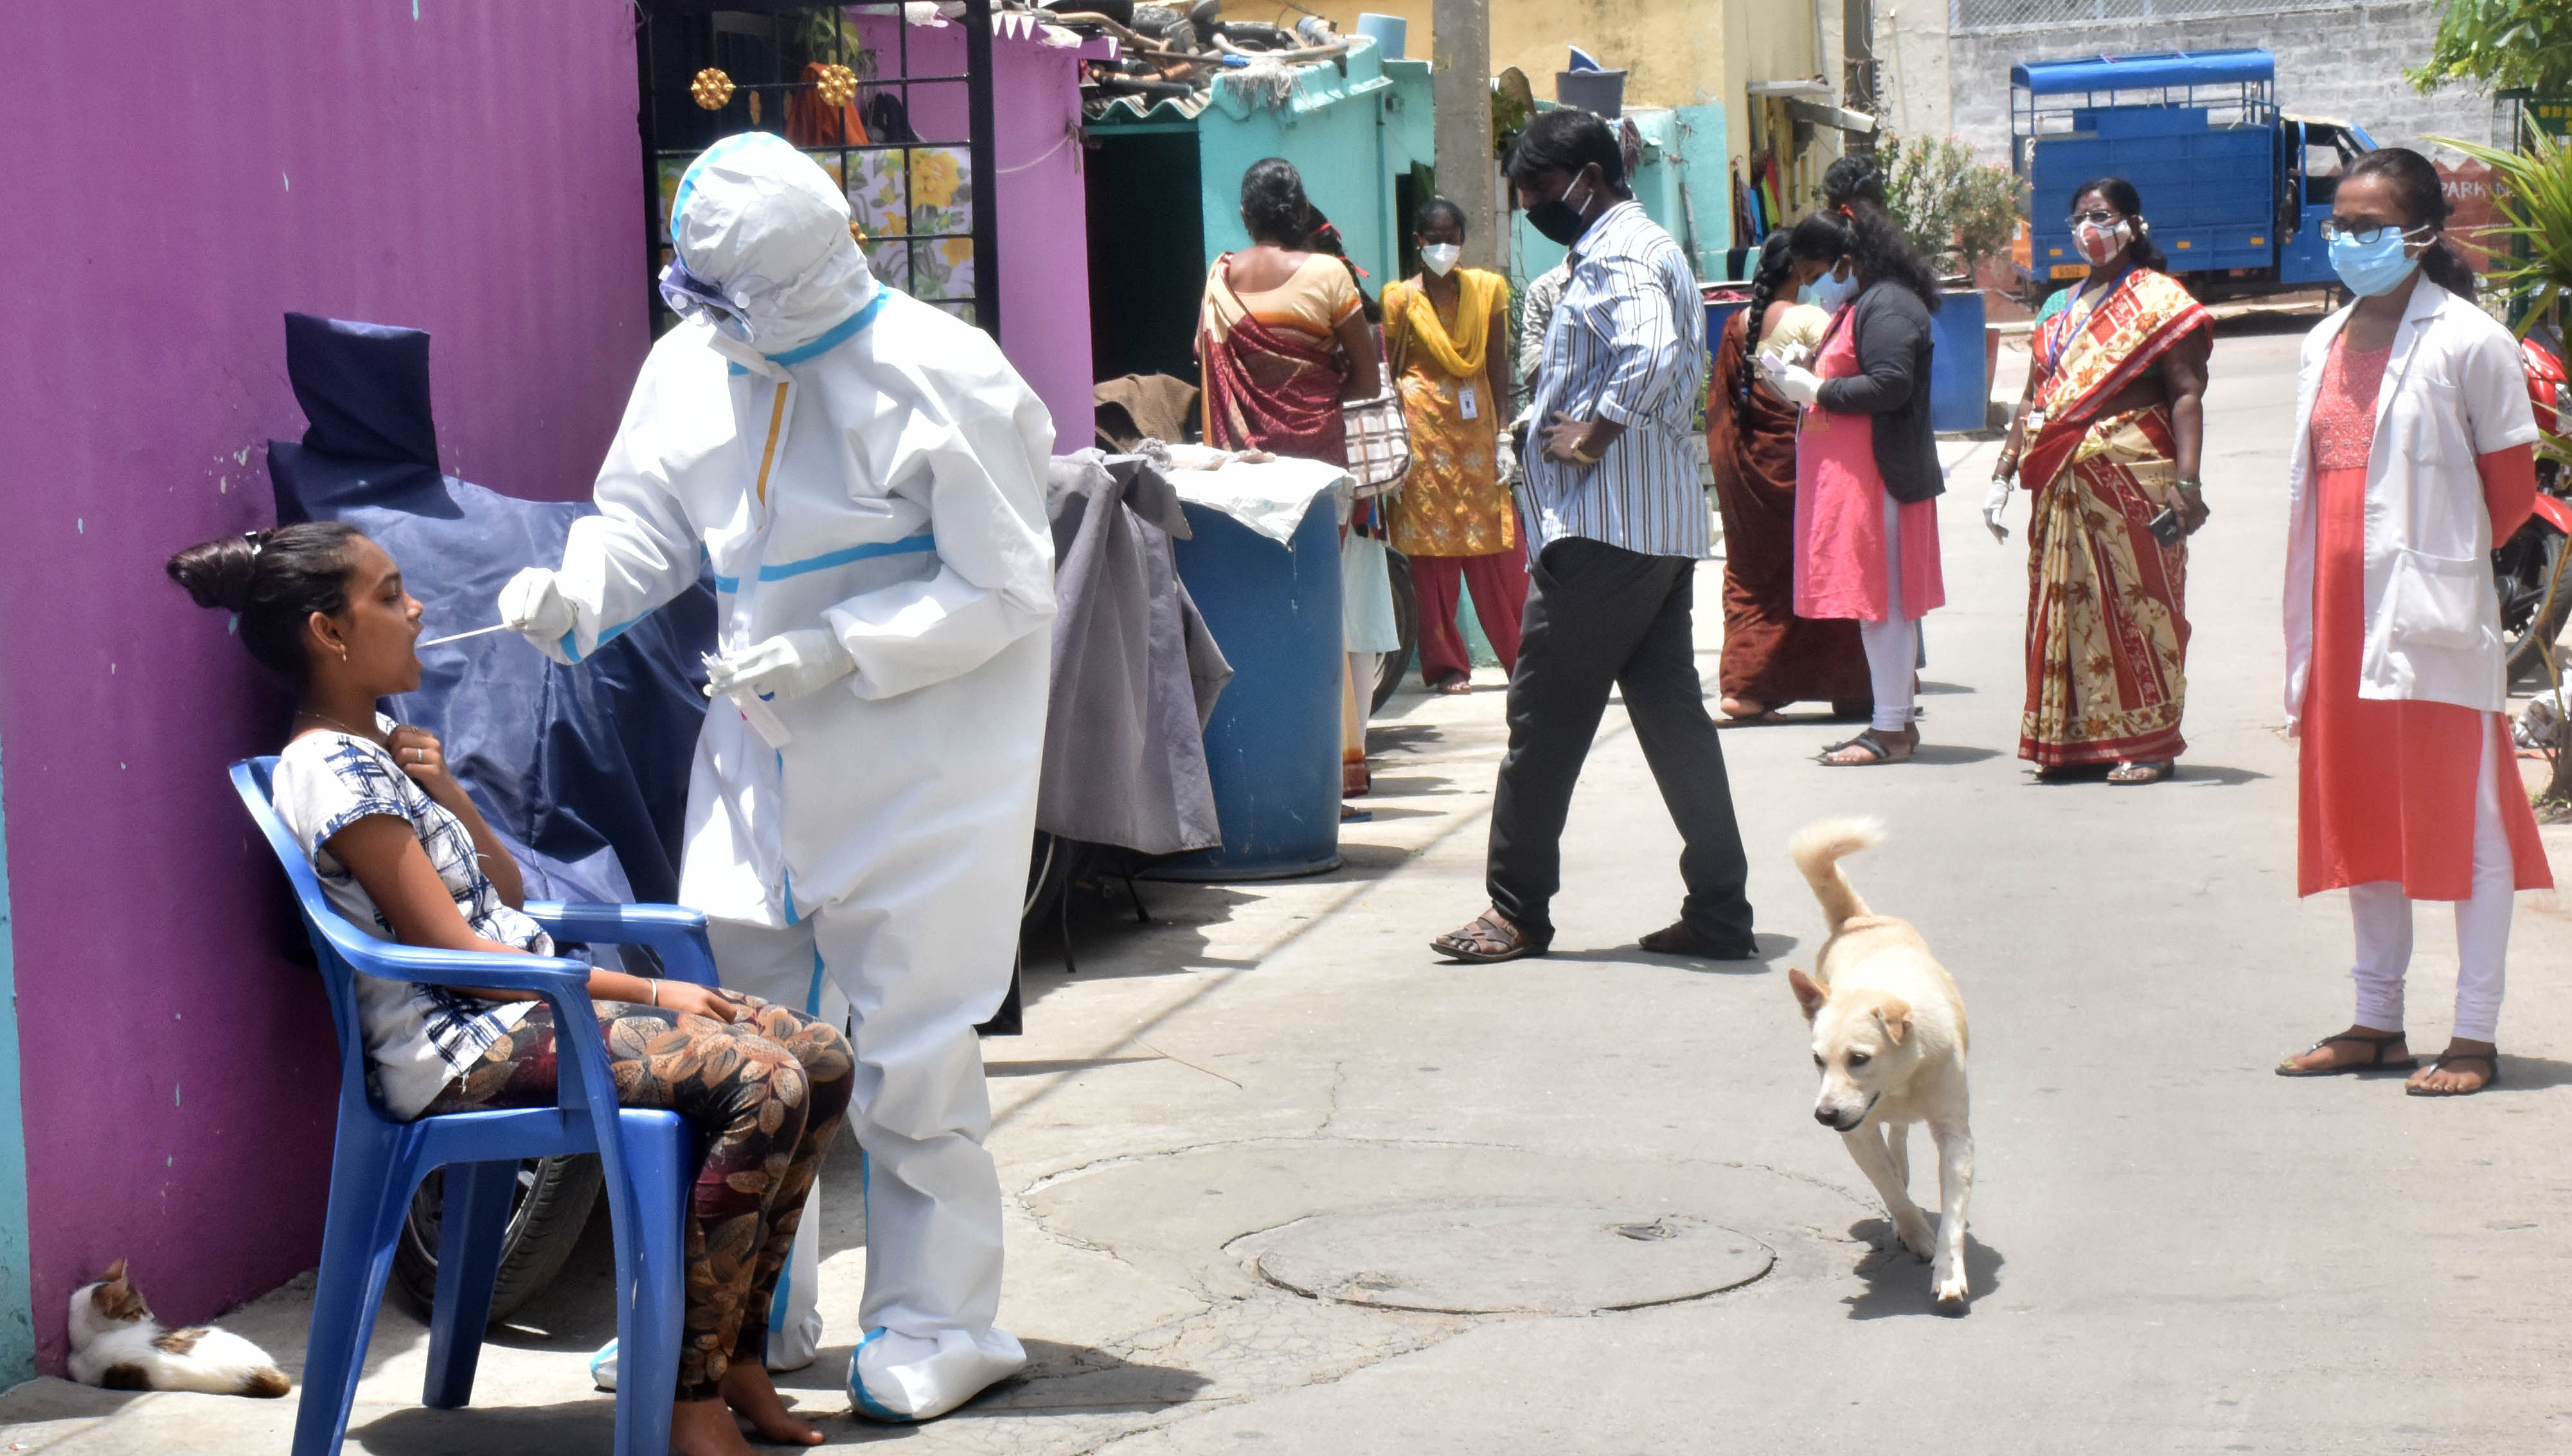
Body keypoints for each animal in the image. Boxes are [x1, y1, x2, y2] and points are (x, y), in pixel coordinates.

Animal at [1790, 823, 1965, 1311]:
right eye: (1818, 1060)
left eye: (1859, 1059)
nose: (1824, 1115)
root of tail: (1857, 921)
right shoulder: (1858, 1135)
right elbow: (1889, 1188)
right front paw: (1915, 1232)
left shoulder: (1955, 1135)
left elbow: (1953, 1214)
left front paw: (1948, 1272)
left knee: (1900, 1134)